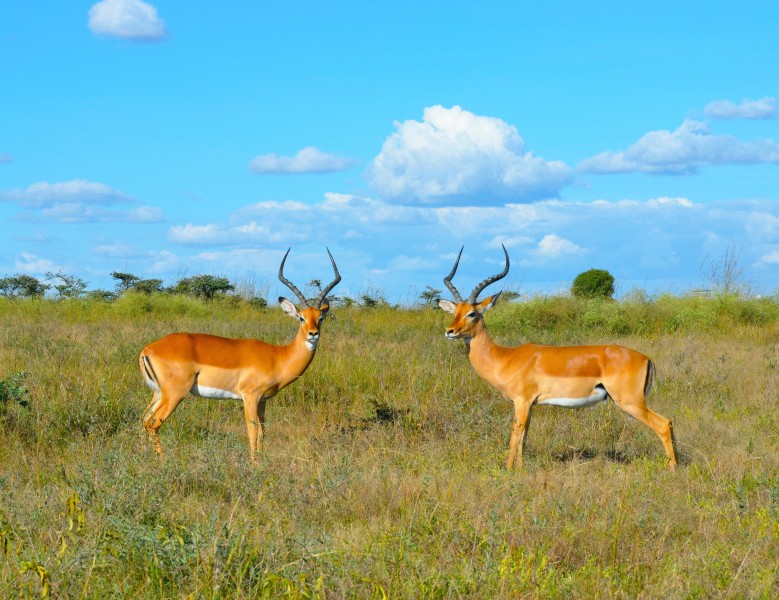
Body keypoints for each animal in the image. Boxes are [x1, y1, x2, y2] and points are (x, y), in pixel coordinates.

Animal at [139, 248, 340, 464]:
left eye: (320, 318)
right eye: (301, 318)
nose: (313, 334)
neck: (278, 356)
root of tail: (147, 350)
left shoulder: (263, 401)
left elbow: (262, 432)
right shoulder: (250, 397)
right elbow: (252, 431)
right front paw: (255, 465)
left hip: (158, 393)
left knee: (143, 420)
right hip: (175, 394)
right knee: (153, 423)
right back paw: (162, 462)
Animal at [438, 246, 676, 472]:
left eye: (472, 313)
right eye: (455, 312)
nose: (450, 331)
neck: (505, 357)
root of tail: (646, 358)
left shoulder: (521, 402)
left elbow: (514, 437)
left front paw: (507, 471)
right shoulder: (531, 405)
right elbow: (524, 439)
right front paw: (521, 470)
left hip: (630, 402)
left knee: (663, 424)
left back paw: (673, 469)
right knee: (669, 422)